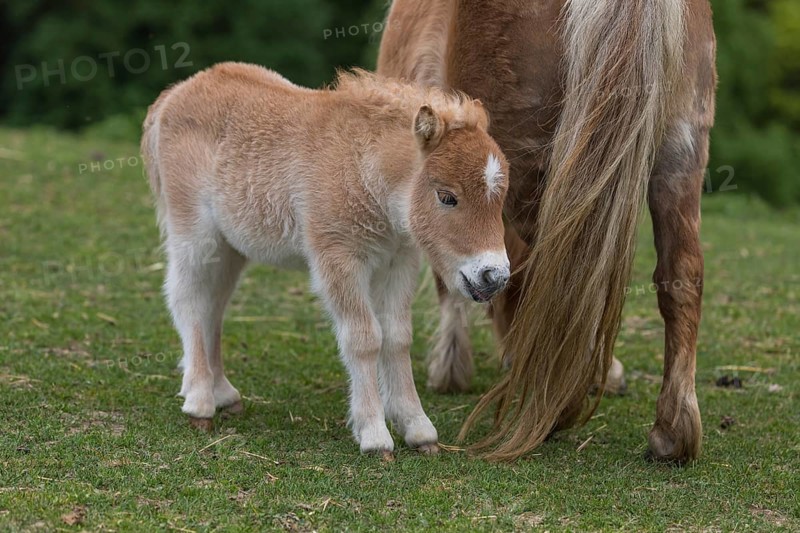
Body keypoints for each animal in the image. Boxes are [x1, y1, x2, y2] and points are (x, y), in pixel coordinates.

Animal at [140, 62, 511, 457]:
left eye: (501, 198)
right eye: (446, 197)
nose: (494, 276)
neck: (363, 169)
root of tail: (174, 95)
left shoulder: (399, 261)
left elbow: (398, 337)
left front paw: (418, 428)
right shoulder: (338, 257)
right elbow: (364, 337)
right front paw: (375, 435)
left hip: (231, 246)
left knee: (214, 305)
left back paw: (223, 393)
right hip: (195, 232)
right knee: (189, 298)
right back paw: (199, 402)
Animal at [378, 0, 717, 463]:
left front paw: (450, 366)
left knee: (562, 279)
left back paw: (556, 404)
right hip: (682, 150)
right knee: (680, 273)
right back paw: (672, 433)